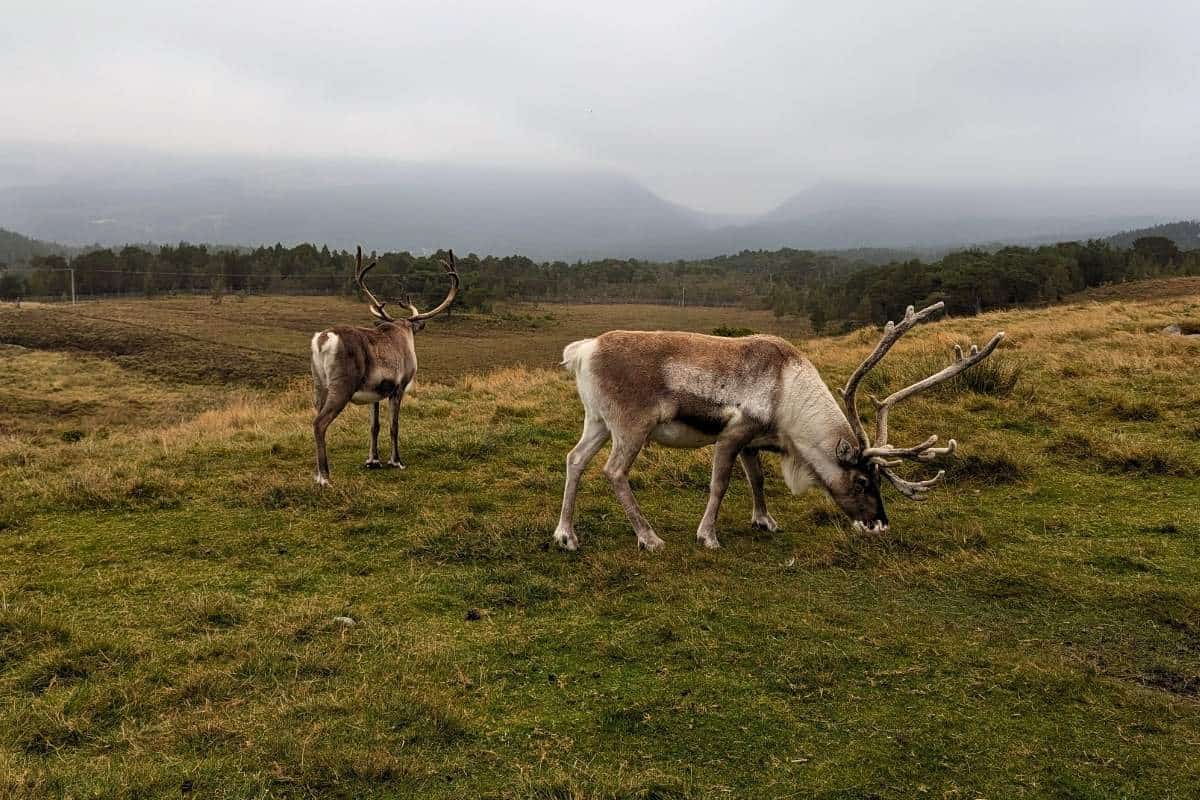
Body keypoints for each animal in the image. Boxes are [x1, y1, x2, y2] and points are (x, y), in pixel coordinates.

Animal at [310, 246, 459, 486]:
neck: (403, 330)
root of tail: (323, 339)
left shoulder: (375, 393)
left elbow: (374, 426)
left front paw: (373, 460)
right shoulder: (398, 388)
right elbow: (394, 426)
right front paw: (396, 461)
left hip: (318, 384)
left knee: (316, 419)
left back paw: (317, 474)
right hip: (341, 386)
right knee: (319, 424)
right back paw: (324, 477)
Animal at [552, 302, 1004, 551]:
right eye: (861, 480)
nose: (879, 524)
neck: (789, 403)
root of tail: (583, 351)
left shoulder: (753, 442)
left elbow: (757, 480)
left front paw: (764, 521)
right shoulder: (734, 432)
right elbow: (720, 484)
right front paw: (708, 536)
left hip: (597, 420)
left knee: (574, 459)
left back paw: (566, 535)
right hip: (632, 424)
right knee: (614, 471)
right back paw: (649, 538)